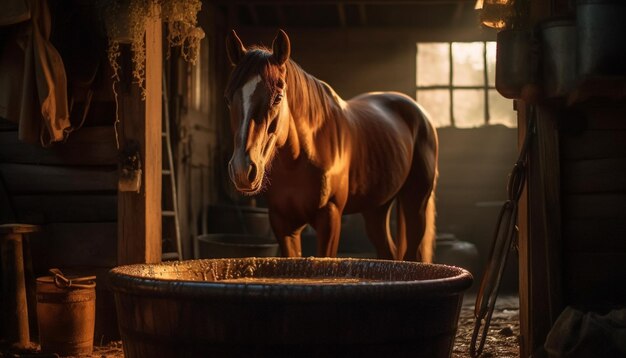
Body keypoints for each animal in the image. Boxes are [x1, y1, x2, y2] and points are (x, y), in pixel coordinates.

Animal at [224, 29, 438, 262]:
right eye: (228, 98)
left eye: (278, 97)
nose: (242, 170)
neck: (301, 158)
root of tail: (420, 113)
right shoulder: (283, 223)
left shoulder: (330, 218)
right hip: (376, 209)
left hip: (415, 203)